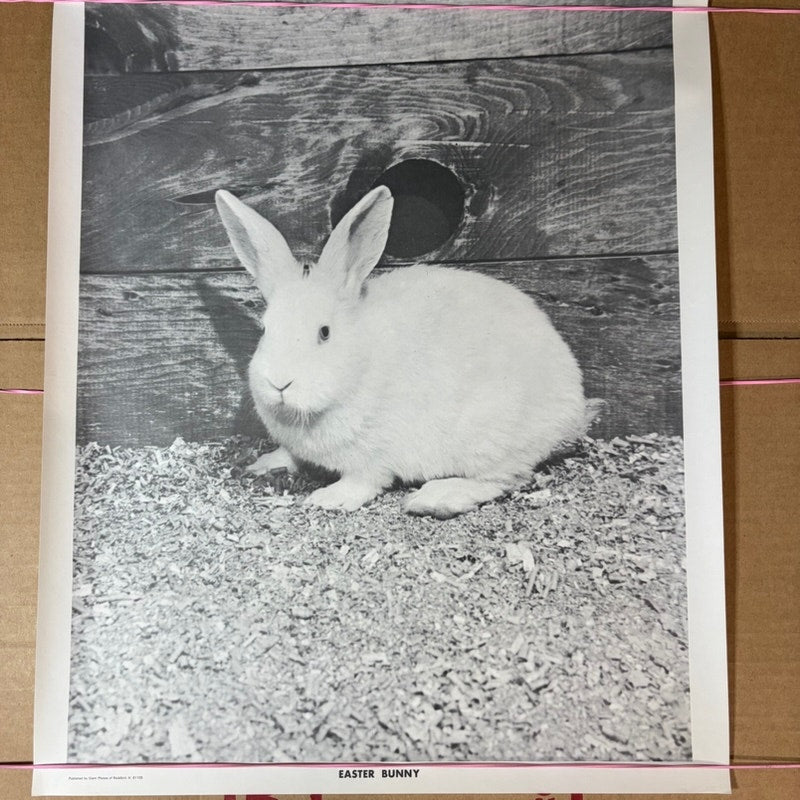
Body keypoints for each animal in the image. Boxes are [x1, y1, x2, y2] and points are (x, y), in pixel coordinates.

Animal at [215, 185, 591, 519]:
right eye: (265, 329)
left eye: (324, 332)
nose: (279, 383)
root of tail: (572, 405)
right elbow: (290, 455)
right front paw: (265, 464)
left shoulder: (373, 455)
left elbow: (364, 480)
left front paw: (330, 498)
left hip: (491, 439)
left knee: (502, 479)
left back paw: (436, 498)